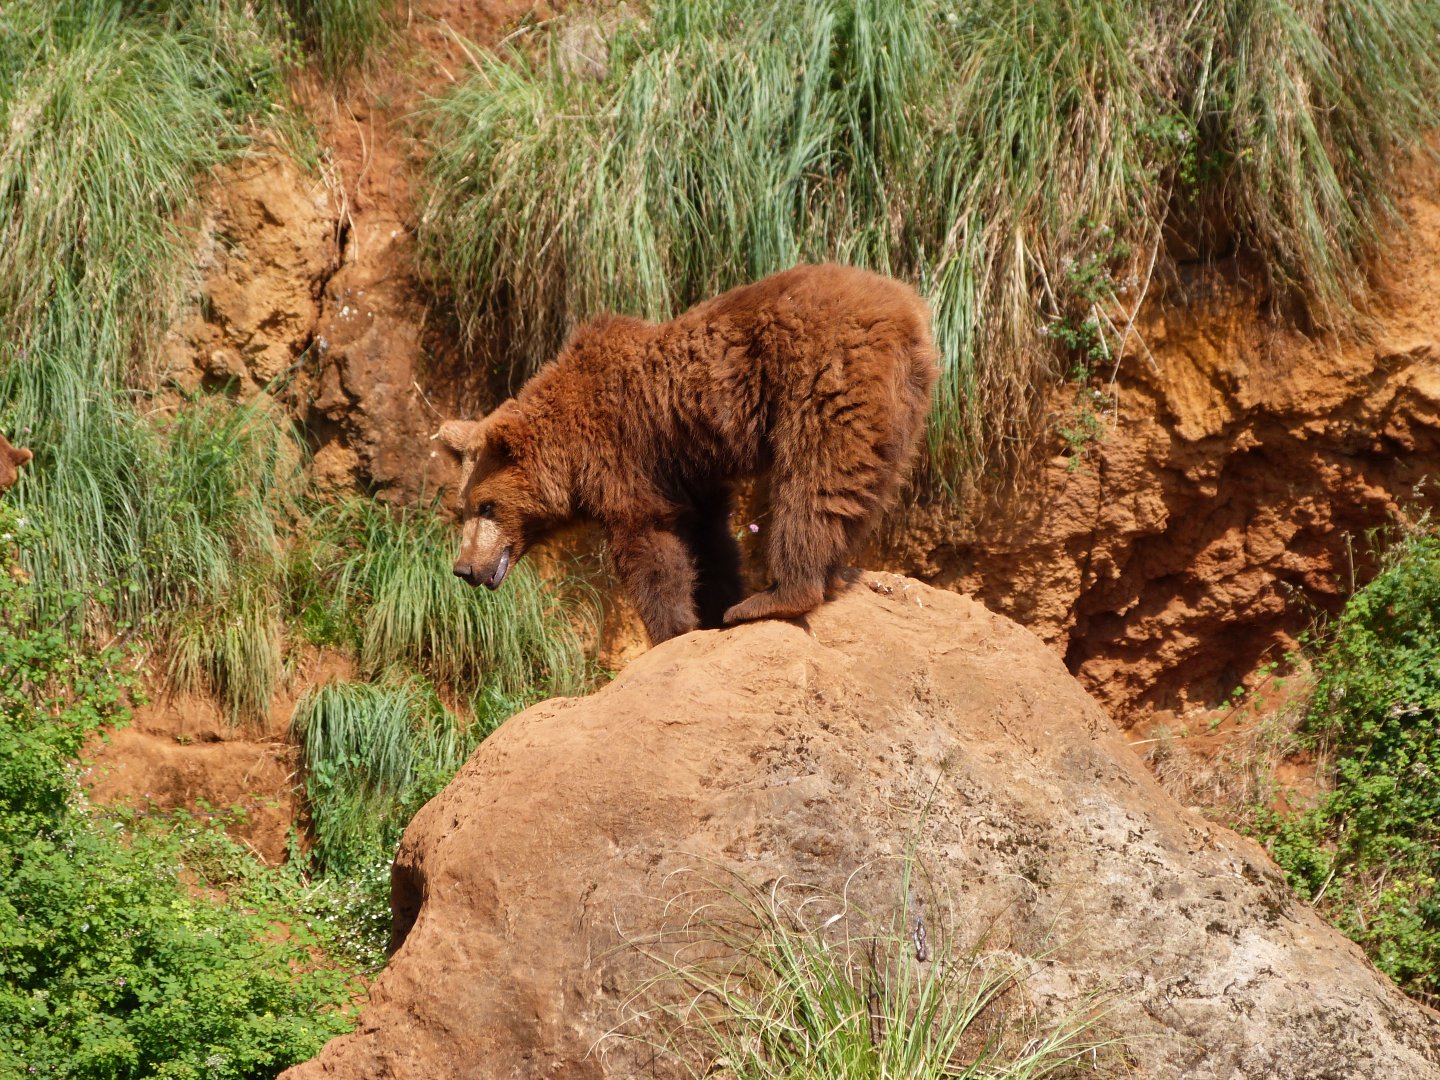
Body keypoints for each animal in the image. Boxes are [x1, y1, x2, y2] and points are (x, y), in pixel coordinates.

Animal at [438, 263, 938, 645]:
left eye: (488, 506)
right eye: (464, 507)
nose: (463, 568)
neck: (570, 450)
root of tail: (908, 306)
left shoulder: (625, 454)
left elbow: (650, 542)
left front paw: (672, 629)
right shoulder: (686, 467)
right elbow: (709, 540)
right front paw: (712, 609)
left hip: (823, 375)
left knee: (815, 479)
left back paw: (774, 596)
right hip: (900, 406)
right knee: (860, 486)